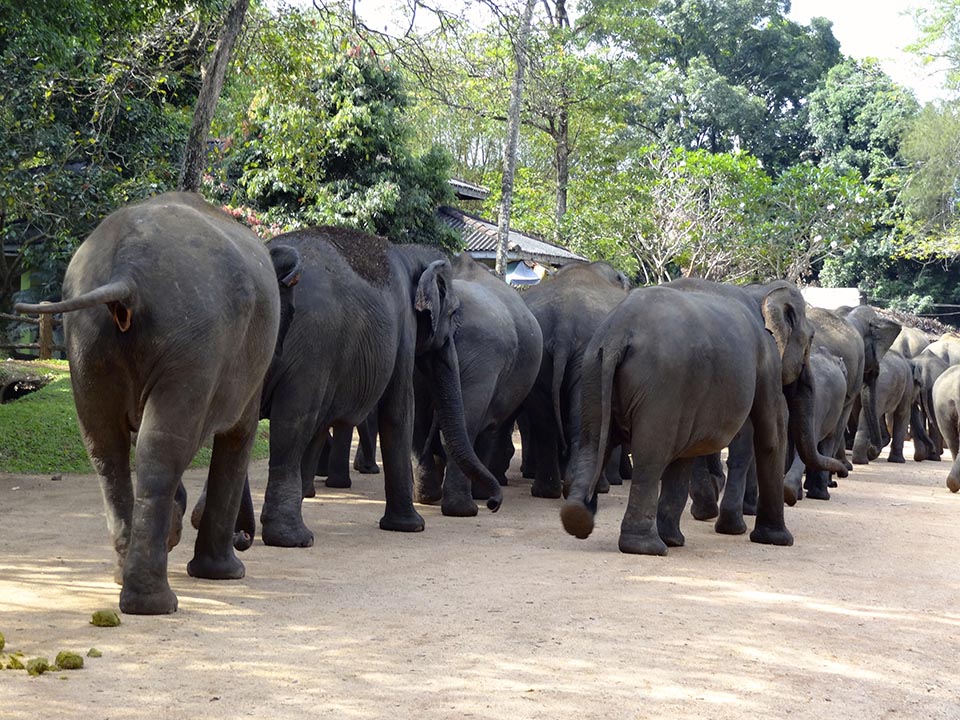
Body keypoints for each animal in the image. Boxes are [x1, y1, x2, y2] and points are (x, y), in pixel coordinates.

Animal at [15, 192, 300, 615]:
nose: (246, 538)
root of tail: (127, 270)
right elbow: (238, 435)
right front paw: (225, 572)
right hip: (189, 339)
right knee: (161, 447)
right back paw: (154, 602)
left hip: (89, 339)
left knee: (107, 448)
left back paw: (127, 581)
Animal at [252, 227, 503, 548]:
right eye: (453, 314)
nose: (494, 504)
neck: (409, 252)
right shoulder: (403, 329)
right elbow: (400, 409)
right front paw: (411, 527)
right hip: (311, 347)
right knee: (293, 423)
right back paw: (294, 538)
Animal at [413, 253, 543, 516]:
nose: (494, 504)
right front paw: (483, 496)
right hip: (485, 353)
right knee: (467, 424)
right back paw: (463, 509)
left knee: (420, 422)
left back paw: (428, 497)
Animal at [519, 260, 630, 498]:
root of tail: (564, 325)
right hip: (587, 353)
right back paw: (587, 487)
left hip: (538, 352)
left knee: (544, 419)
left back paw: (546, 491)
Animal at [560, 278, 847, 556]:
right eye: (811, 338)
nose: (842, 471)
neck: (761, 292)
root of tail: (617, 334)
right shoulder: (766, 361)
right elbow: (770, 433)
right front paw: (778, 540)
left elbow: (688, 454)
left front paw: (677, 539)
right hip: (662, 386)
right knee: (650, 456)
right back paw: (646, 547)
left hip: (593, 371)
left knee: (593, 443)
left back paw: (578, 518)